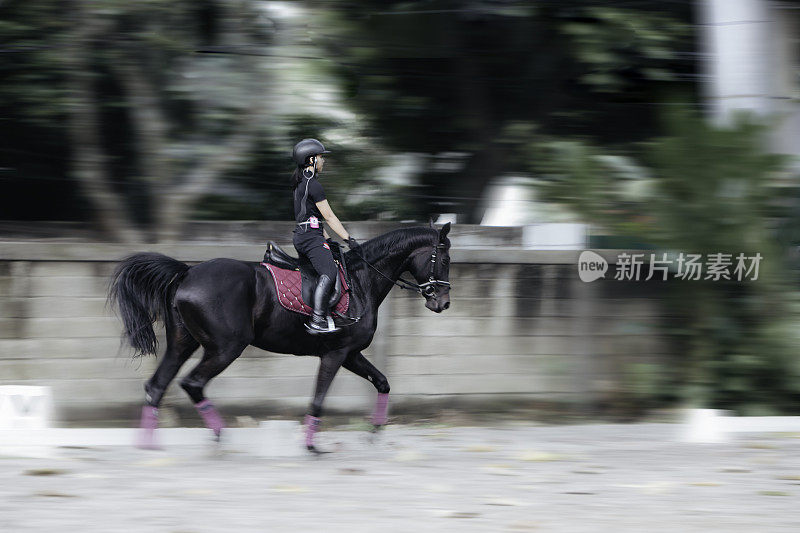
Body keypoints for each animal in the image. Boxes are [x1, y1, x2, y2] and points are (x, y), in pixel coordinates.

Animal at [109, 222, 454, 450]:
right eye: (445, 258)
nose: (442, 302)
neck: (362, 280)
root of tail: (187, 272)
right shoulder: (336, 354)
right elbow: (318, 399)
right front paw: (311, 445)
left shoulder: (351, 354)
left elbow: (382, 382)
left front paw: (376, 429)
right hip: (225, 348)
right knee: (192, 383)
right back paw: (220, 435)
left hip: (182, 343)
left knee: (156, 386)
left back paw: (148, 445)